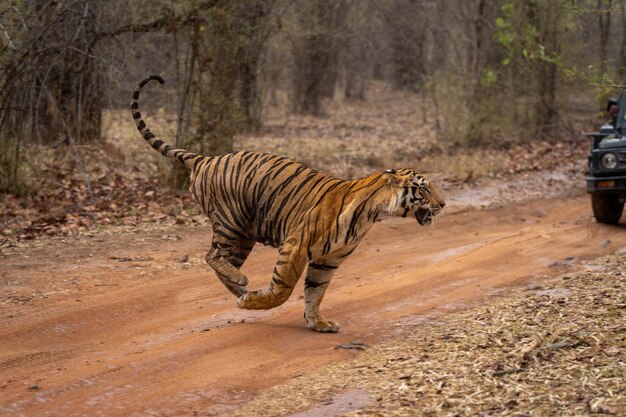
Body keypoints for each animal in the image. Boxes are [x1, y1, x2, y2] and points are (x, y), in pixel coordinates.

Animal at [130, 75, 444, 332]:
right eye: (423, 188)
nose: (443, 204)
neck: (373, 213)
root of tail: (207, 158)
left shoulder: (327, 261)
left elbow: (315, 292)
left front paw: (318, 322)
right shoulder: (297, 244)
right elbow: (285, 288)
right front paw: (261, 303)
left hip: (244, 234)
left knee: (220, 262)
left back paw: (240, 290)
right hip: (231, 220)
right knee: (212, 255)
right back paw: (243, 287)